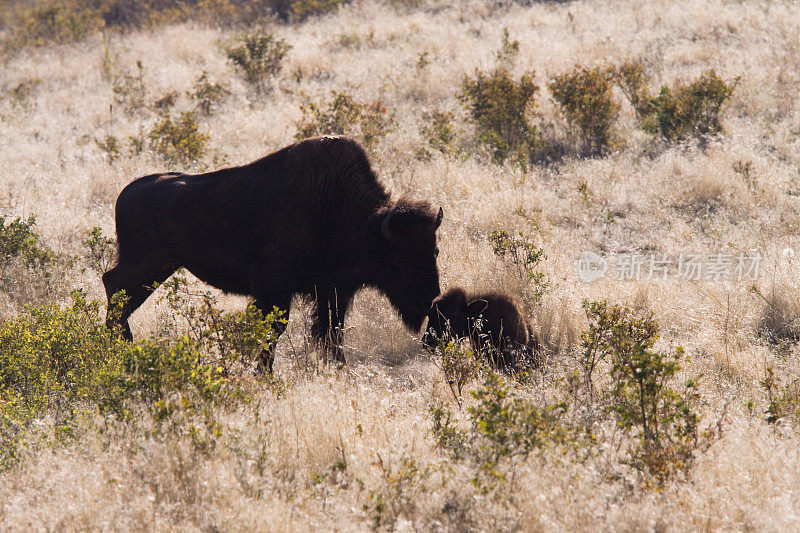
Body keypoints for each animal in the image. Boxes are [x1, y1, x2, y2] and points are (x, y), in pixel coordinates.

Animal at [101, 137, 444, 370]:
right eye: (397, 259)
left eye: (435, 250)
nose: (428, 302)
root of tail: (126, 193)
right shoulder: (274, 287)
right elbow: (273, 329)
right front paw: (263, 374)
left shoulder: (333, 292)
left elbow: (331, 332)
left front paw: (338, 369)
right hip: (148, 265)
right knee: (115, 288)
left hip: (156, 267)